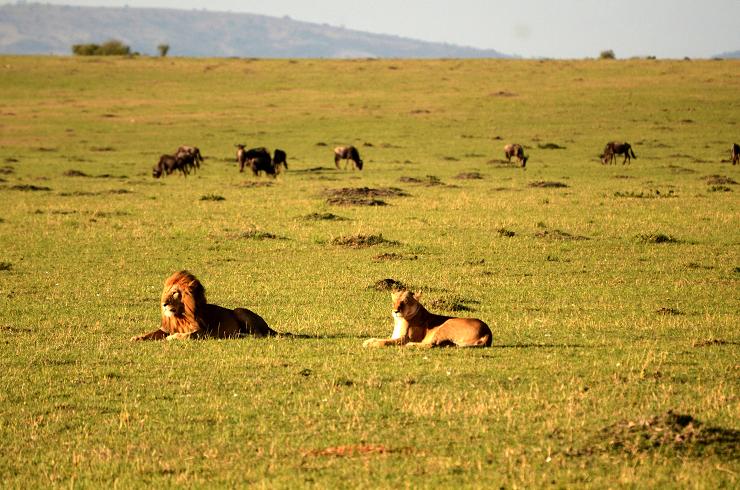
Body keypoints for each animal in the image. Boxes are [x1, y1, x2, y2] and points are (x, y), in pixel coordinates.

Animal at [131, 268, 278, 340]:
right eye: (166, 293)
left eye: (175, 293)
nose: (164, 304)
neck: (181, 316)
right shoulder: (165, 328)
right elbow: (151, 333)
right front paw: (137, 337)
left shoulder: (204, 331)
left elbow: (189, 335)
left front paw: (174, 337)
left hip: (239, 311)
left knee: (258, 335)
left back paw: (238, 335)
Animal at [362, 290, 492, 348]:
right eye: (394, 301)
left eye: (405, 301)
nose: (396, 311)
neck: (400, 320)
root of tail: (487, 332)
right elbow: (382, 338)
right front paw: (369, 341)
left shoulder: (404, 338)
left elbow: (385, 341)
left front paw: (372, 344)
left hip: (446, 325)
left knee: (432, 344)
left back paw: (411, 345)